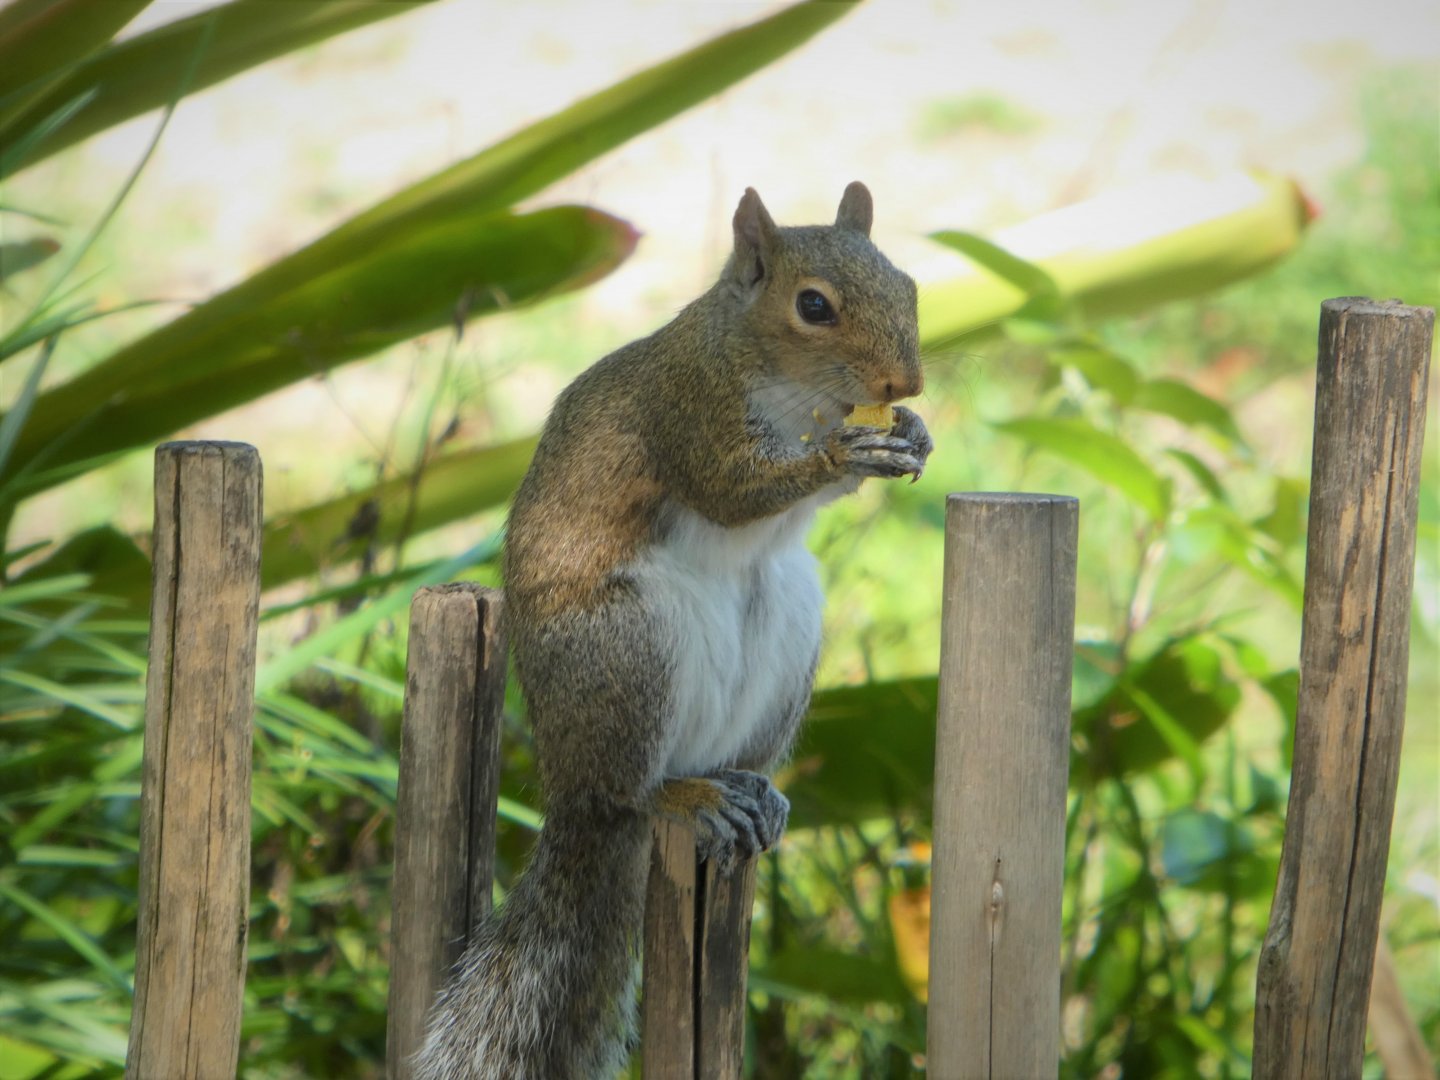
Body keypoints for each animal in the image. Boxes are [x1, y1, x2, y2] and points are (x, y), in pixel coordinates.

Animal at [414, 182, 932, 1079]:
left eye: (908, 284)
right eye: (814, 306)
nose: (908, 382)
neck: (791, 385)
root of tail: (569, 784)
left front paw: (912, 437)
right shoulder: (688, 410)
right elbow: (729, 488)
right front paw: (841, 456)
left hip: (786, 632)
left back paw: (750, 790)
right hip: (629, 648)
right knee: (631, 789)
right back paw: (679, 794)